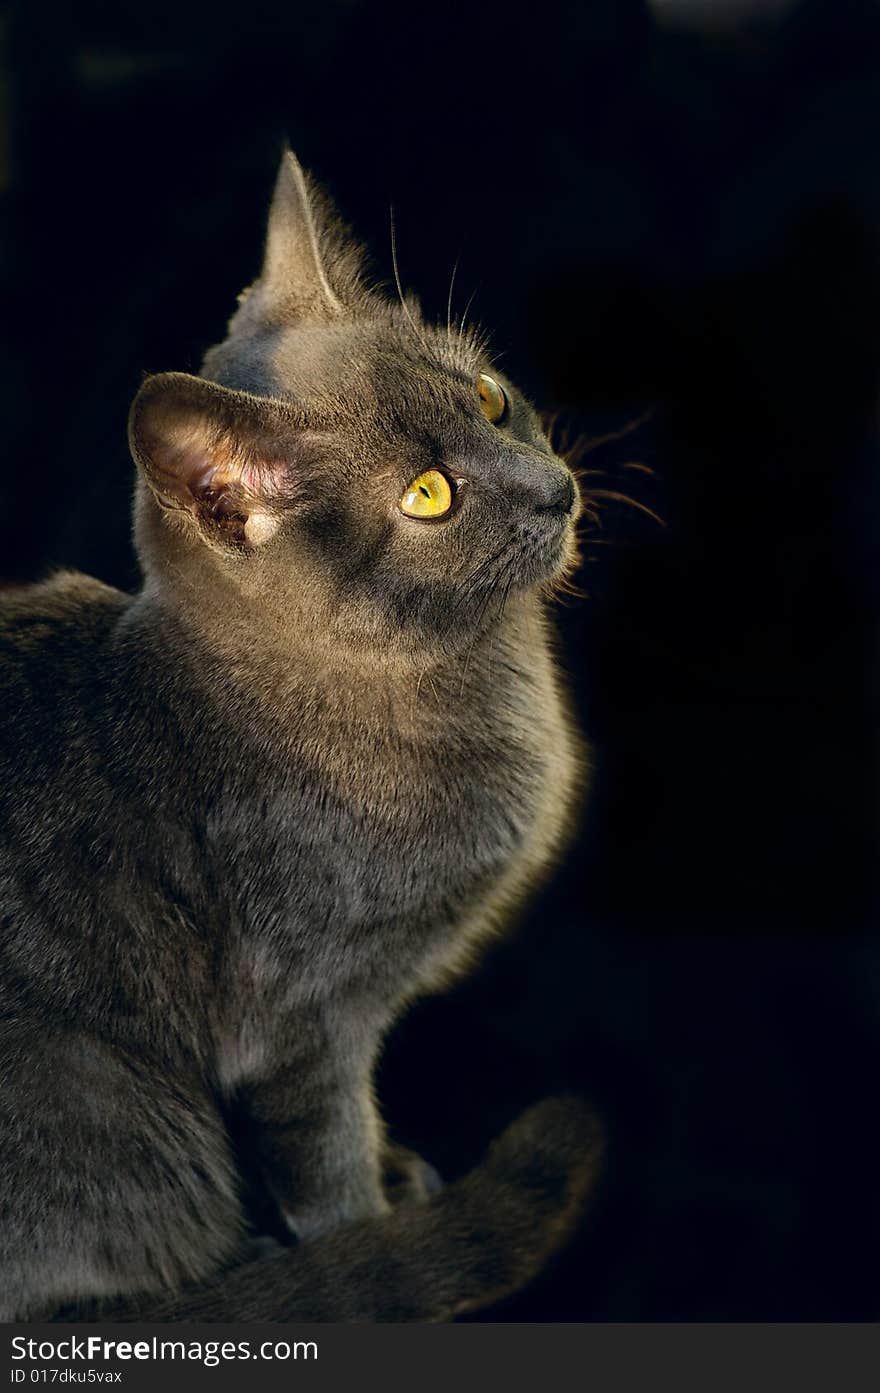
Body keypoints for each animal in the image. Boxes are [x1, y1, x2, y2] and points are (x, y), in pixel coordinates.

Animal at [0, 146, 601, 1320]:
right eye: (428, 495)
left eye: (490, 397)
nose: (554, 488)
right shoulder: (300, 1023)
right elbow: (331, 1174)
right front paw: (379, 1228)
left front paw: (403, 1178)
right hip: (113, 1113)